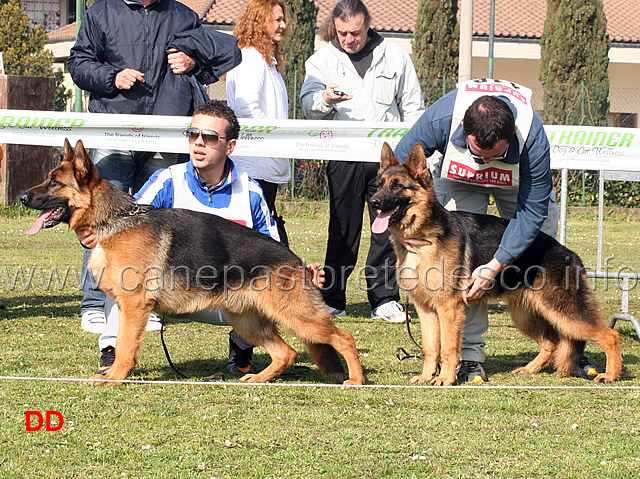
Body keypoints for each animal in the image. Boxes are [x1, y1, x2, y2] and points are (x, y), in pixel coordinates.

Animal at [20, 141, 364, 388]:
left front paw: (116, 377)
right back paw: (257, 378)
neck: (114, 221)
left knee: (344, 339)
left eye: (54, 183)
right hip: (249, 322)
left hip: (298, 318)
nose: (23, 198)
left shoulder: (134, 306)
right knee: (287, 353)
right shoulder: (126, 305)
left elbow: (127, 347)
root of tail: (295, 260)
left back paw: (356, 380)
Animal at [368, 142, 624, 386]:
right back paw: (530, 369)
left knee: (610, 336)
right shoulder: (426, 310)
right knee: (551, 342)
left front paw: (445, 379)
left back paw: (610, 375)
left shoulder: (448, 309)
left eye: (397, 186)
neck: (423, 236)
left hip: (565, 313)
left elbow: (448, 348)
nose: (373, 202)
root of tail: (569, 253)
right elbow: (431, 348)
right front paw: (425, 376)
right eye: (379, 184)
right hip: (525, 316)